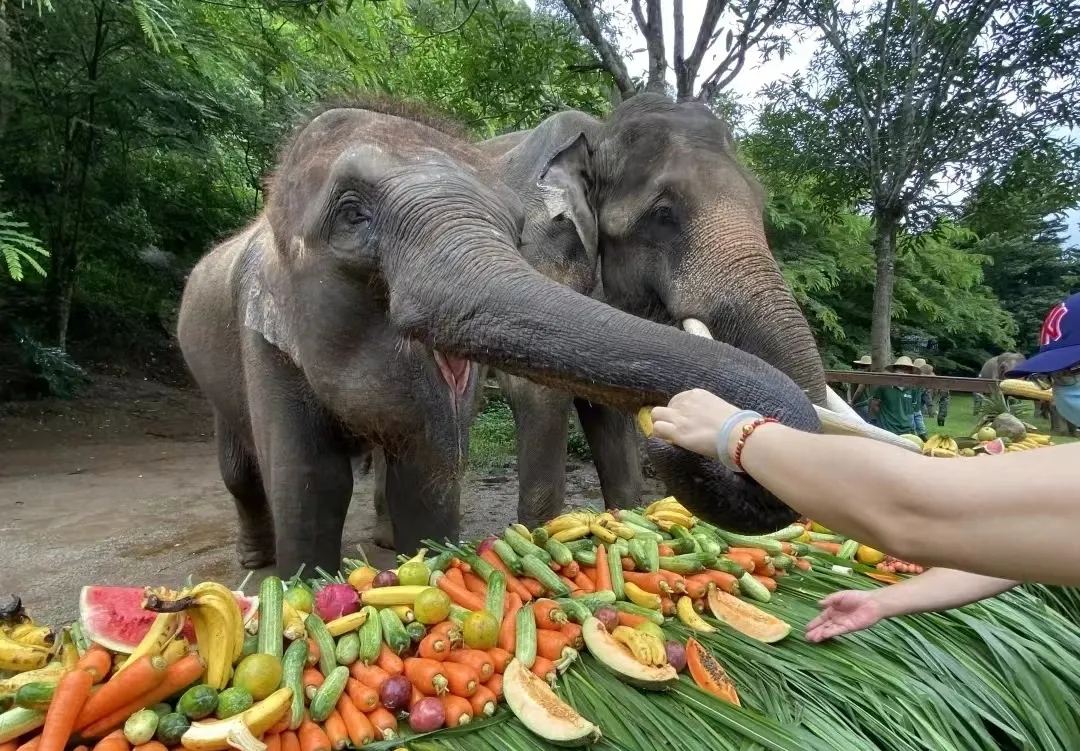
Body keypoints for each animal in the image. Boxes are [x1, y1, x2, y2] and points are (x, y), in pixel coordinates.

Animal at [177, 98, 821, 576]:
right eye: (664, 213)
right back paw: (258, 563)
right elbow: (538, 402)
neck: (594, 131)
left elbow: (609, 424)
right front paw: (543, 535)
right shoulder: (543, 259)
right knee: (242, 467)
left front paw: (626, 520)